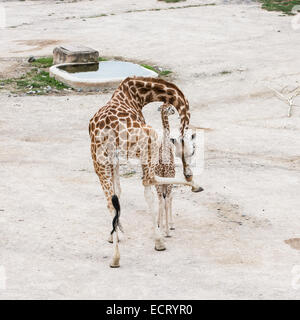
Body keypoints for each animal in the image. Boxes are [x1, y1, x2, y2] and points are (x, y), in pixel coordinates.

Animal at [89, 75, 202, 268]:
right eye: (193, 149)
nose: (189, 173)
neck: (137, 95)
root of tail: (109, 132)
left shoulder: (113, 159)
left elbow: (118, 192)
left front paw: (114, 234)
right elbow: (148, 191)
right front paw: (158, 239)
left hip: (99, 162)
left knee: (110, 200)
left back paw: (115, 258)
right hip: (147, 143)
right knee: (149, 180)